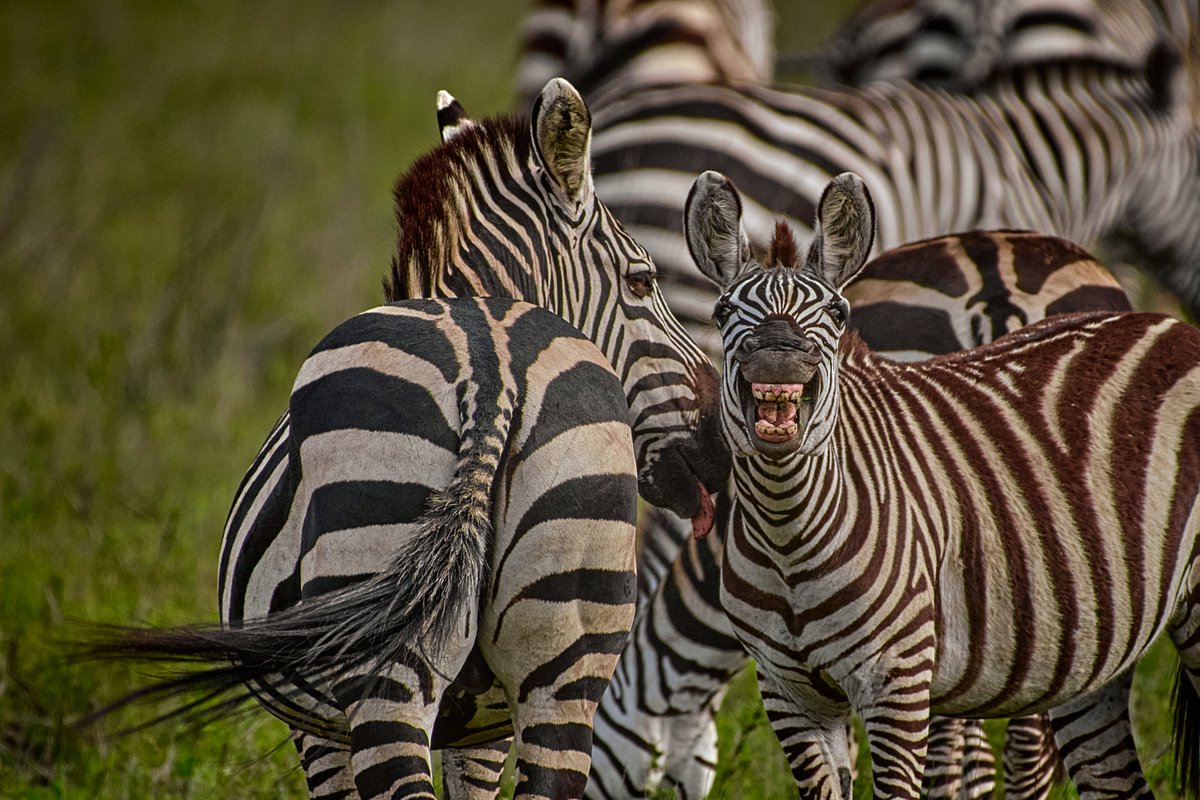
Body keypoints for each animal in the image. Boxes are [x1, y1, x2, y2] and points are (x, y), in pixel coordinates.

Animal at [79, 76, 729, 800]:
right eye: (644, 281)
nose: (720, 447)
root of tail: (493, 367)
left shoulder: (318, 721)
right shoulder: (485, 729)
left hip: (380, 640)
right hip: (565, 646)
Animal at [686, 167, 1200, 800]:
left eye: (835, 313)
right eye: (721, 312)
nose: (778, 356)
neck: (788, 534)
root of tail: (1168, 322)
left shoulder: (898, 682)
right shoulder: (787, 692)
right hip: (1094, 647)